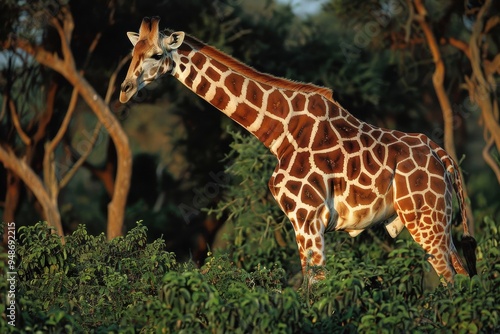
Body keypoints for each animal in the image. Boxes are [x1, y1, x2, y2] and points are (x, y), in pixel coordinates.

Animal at [120, 17, 476, 282]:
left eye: (156, 55)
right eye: (133, 52)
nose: (124, 90)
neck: (279, 132)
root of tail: (441, 154)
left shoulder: (308, 217)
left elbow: (315, 286)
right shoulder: (301, 222)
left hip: (426, 219)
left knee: (450, 278)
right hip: (439, 221)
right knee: (460, 272)